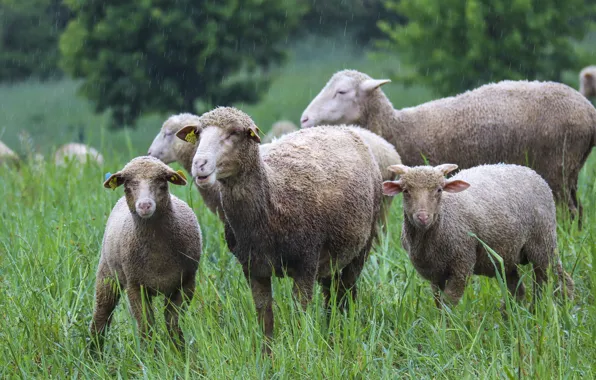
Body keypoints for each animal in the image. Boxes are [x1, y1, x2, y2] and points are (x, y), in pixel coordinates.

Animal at [90, 156, 203, 352]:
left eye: (162, 182)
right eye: (128, 184)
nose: (144, 205)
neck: (159, 257)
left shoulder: (186, 283)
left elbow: (173, 322)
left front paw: (179, 352)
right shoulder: (135, 286)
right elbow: (146, 325)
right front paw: (149, 354)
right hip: (108, 274)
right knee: (102, 313)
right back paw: (94, 352)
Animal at [176, 106, 382, 348]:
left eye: (235, 132)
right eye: (198, 133)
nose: (199, 164)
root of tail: (340, 128)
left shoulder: (306, 264)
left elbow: (299, 314)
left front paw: (298, 348)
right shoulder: (253, 268)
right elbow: (264, 315)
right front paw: (267, 353)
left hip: (362, 244)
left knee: (347, 289)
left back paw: (344, 328)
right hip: (331, 256)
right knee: (331, 293)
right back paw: (331, 329)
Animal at [300, 69, 596, 226]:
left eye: (341, 92)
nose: (304, 118)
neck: (399, 127)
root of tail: (589, 111)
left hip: (558, 166)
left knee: (568, 212)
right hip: (570, 171)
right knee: (579, 211)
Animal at [382, 162, 572, 308]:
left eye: (439, 190)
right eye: (406, 191)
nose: (422, 217)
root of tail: (531, 171)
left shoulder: (462, 264)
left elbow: (449, 302)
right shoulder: (435, 273)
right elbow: (438, 302)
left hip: (543, 242)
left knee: (549, 280)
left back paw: (553, 307)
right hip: (507, 255)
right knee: (518, 290)